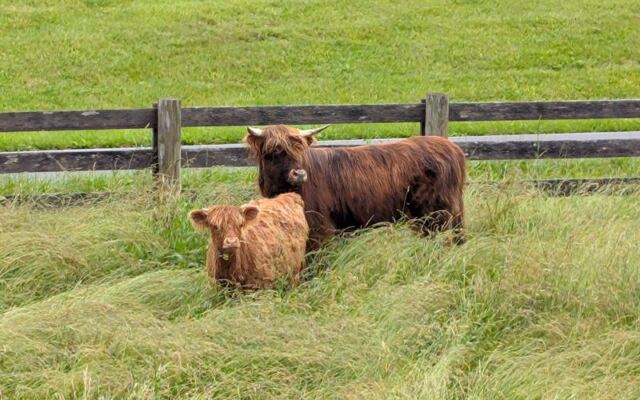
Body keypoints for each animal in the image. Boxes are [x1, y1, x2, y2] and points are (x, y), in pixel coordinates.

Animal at [245, 125, 466, 249]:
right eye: (274, 151)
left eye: (300, 150)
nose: (299, 174)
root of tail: (452, 147)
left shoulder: (319, 227)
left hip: (435, 214)